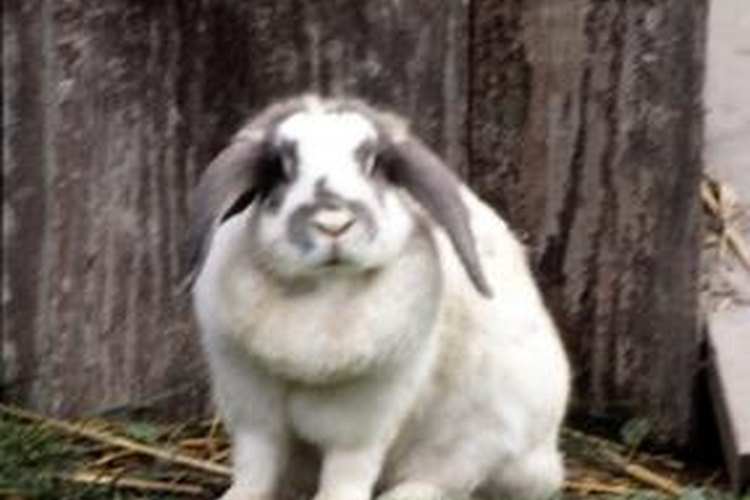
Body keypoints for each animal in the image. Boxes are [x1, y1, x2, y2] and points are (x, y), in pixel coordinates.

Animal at [191, 94, 572, 500]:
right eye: (280, 169)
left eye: (372, 164)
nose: (333, 224)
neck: (324, 297)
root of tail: (549, 460)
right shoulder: (253, 411)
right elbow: (256, 469)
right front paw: (236, 496)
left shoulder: (361, 426)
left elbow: (345, 477)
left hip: (485, 440)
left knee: (445, 479)